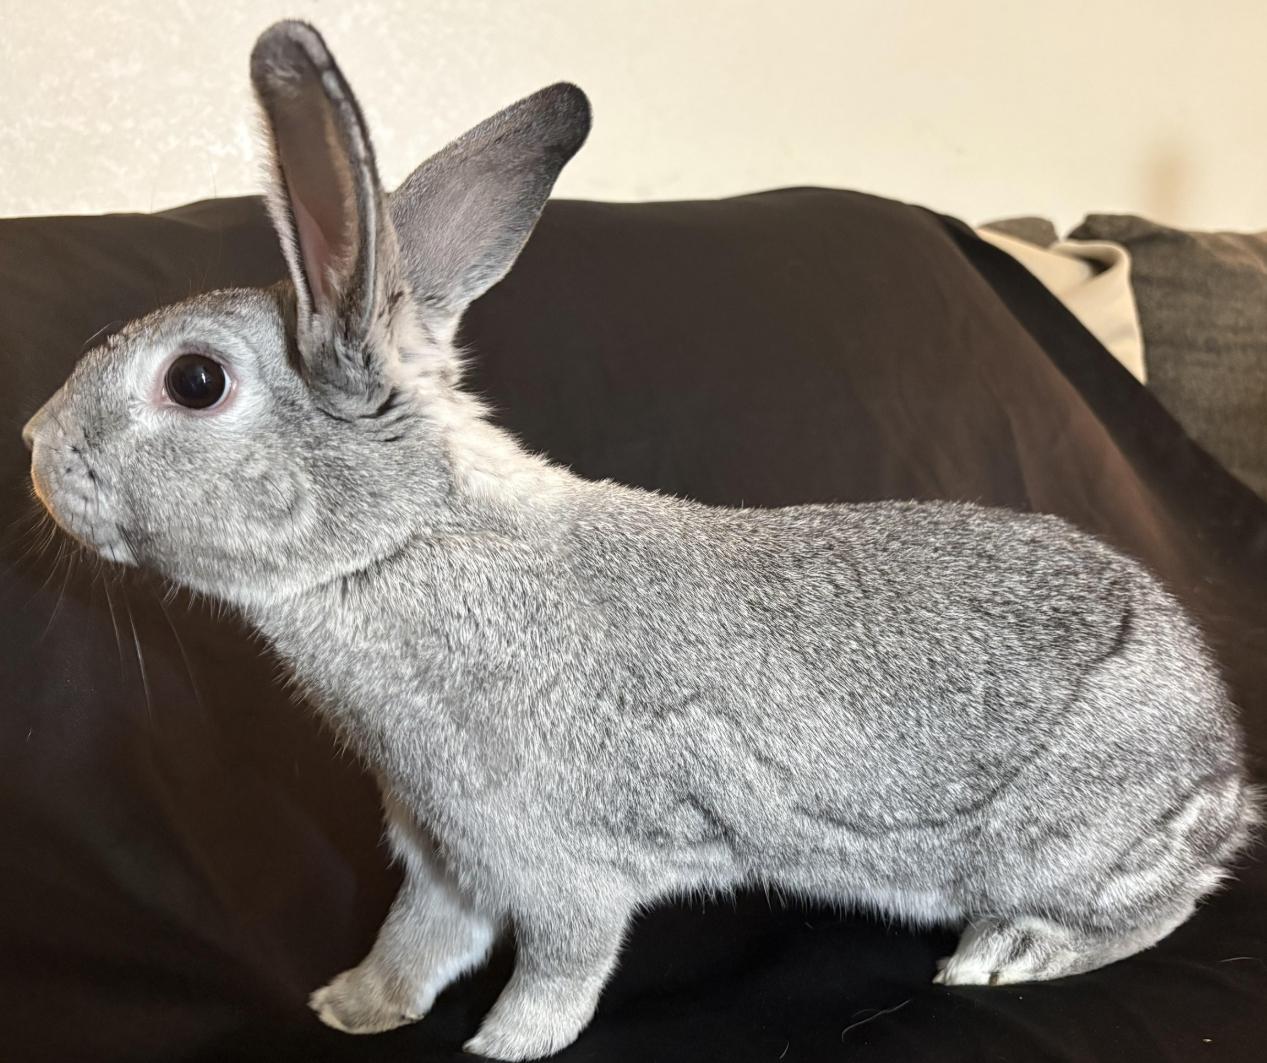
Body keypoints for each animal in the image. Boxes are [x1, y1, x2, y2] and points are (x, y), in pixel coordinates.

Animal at [21, 19, 1258, 1062]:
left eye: (194, 382)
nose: (34, 446)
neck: (403, 539)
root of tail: (1221, 768)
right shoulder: (442, 846)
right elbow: (418, 939)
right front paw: (352, 1008)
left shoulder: (552, 857)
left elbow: (562, 961)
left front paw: (502, 1046)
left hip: (1055, 841)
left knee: (1148, 907)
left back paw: (999, 959)